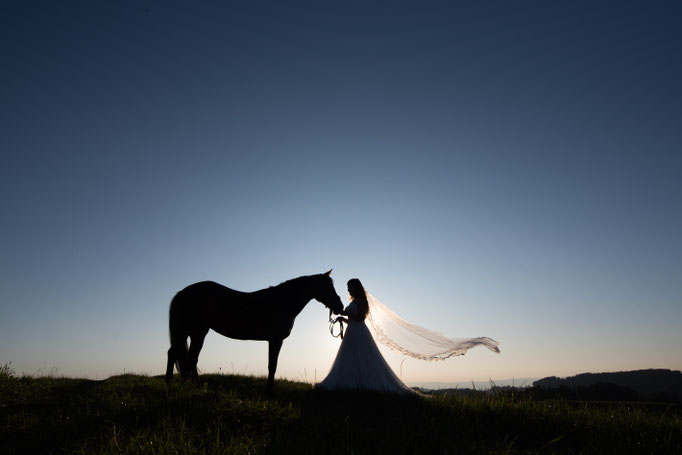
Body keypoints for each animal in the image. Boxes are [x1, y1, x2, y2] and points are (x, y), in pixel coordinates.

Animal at [165, 268, 346, 394]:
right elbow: (272, 365)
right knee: (180, 355)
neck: (282, 301)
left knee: (186, 357)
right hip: (193, 331)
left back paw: (191, 386)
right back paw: (176, 384)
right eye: (327, 287)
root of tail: (182, 293)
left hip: (194, 332)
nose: (340, 306)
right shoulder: (275, 339)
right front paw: (269, 392)